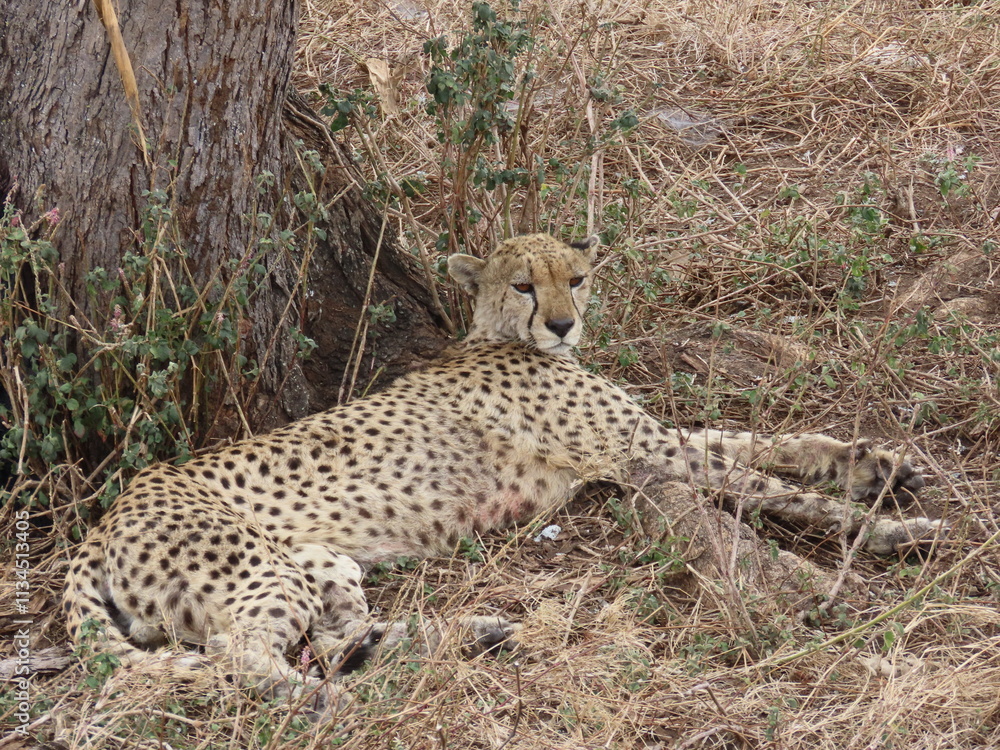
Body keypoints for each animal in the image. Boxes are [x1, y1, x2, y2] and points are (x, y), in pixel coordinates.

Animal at [62, 233, 946, 717]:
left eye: (576, 280)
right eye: (524, 284)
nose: (562, 324)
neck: (501, 335)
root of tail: (110, 511)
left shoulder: (647, 442)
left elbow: (764, 442)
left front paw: (878, 464)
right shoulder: (645, 454)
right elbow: (773, 486)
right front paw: (893, 530)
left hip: (322, 560)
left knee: (337, 636)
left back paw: (469, 635)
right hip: (261, 570)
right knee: (241, 653)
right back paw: (327, 700)